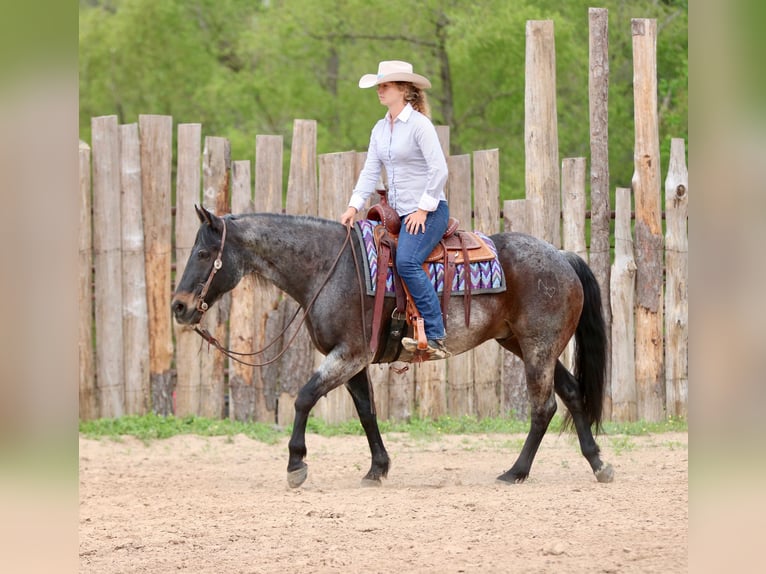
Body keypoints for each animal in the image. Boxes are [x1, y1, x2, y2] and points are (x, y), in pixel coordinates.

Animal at [171, 205, 614, 487]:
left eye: (204, 252)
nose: (179, 306)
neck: (329, 268)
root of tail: (563, 256)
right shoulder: (352, 360)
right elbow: (366, 411)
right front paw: (377, 468)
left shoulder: (349, 354)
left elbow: (304, 397)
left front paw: (296, 463)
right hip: (524, 345)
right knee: (571, 393)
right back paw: (597, 462)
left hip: (538, 348)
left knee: (544, 407)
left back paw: (516, 472)